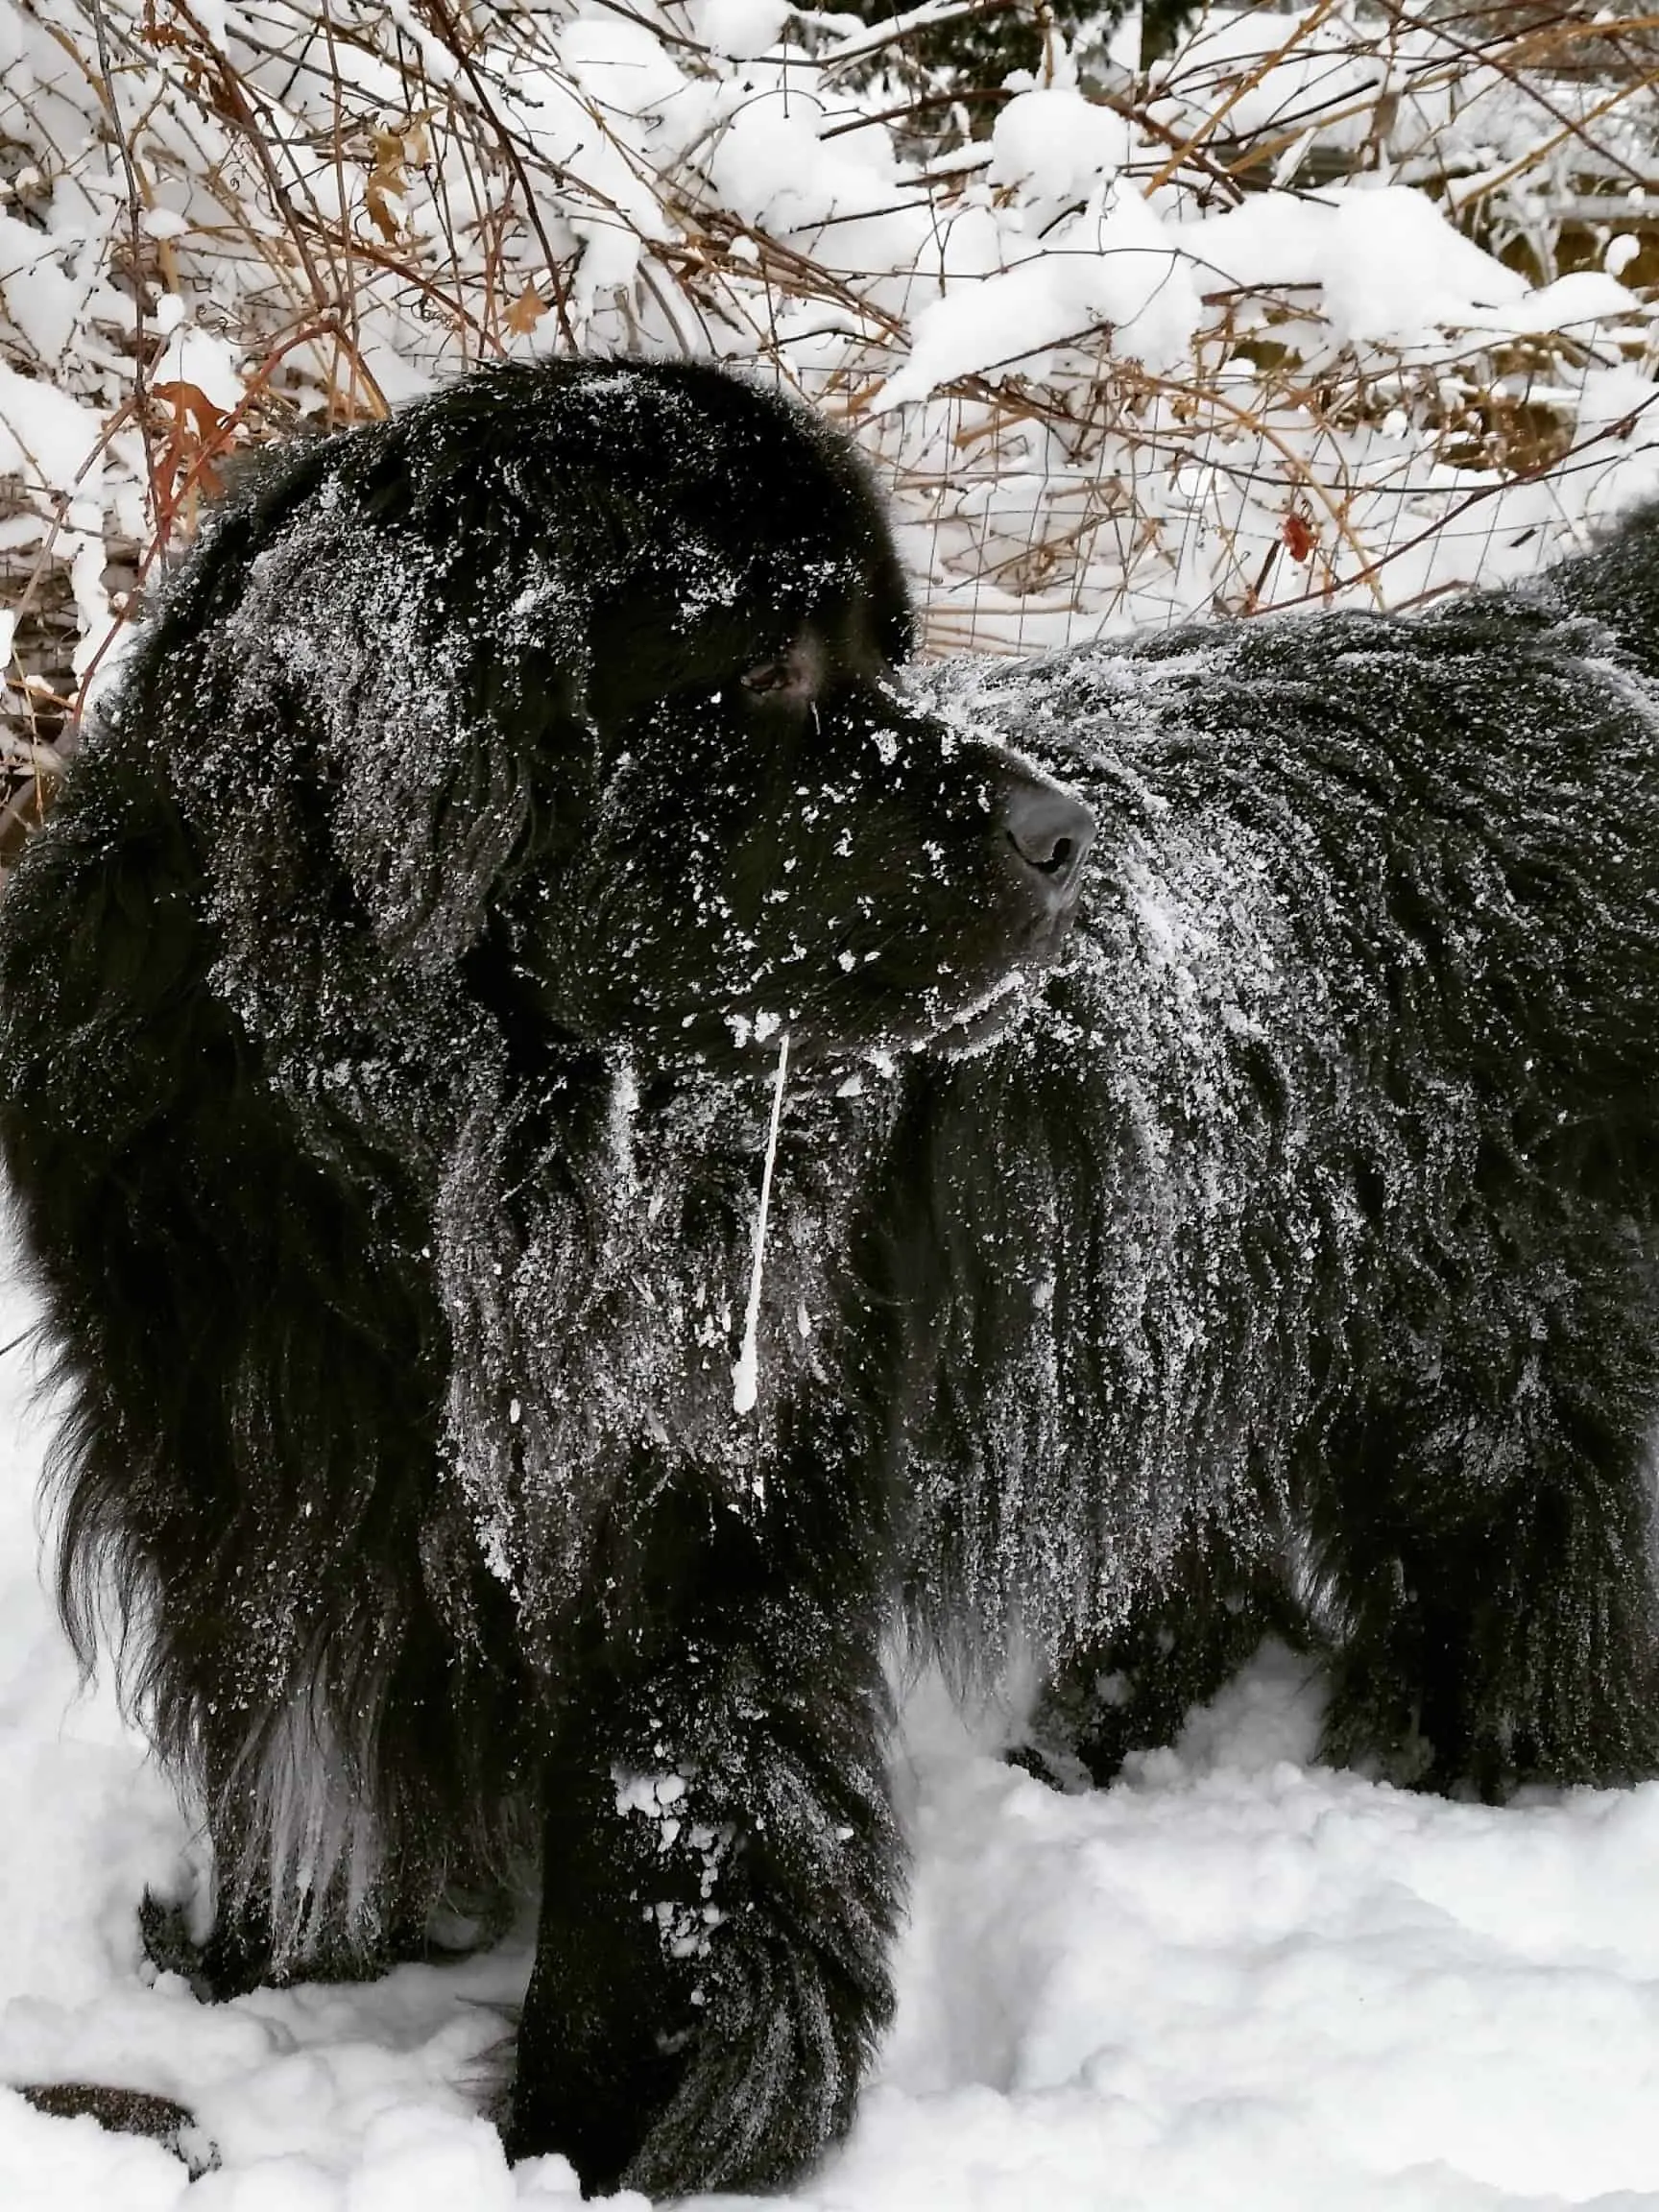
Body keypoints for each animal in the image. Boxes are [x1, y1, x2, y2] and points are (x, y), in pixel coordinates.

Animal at [3, 353, 1659, 2185]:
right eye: (764, 669)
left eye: (883, 648)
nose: (1066, 834)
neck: (426, 1156)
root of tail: (1562, 648)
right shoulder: (255, 1467)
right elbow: (300, 1710)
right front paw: (271, 1967)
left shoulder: (690, 1509)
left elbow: (666, 1813)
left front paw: (597, 2133)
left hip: (1482, 1354)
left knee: (1523, 1550)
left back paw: (1479, 1767)